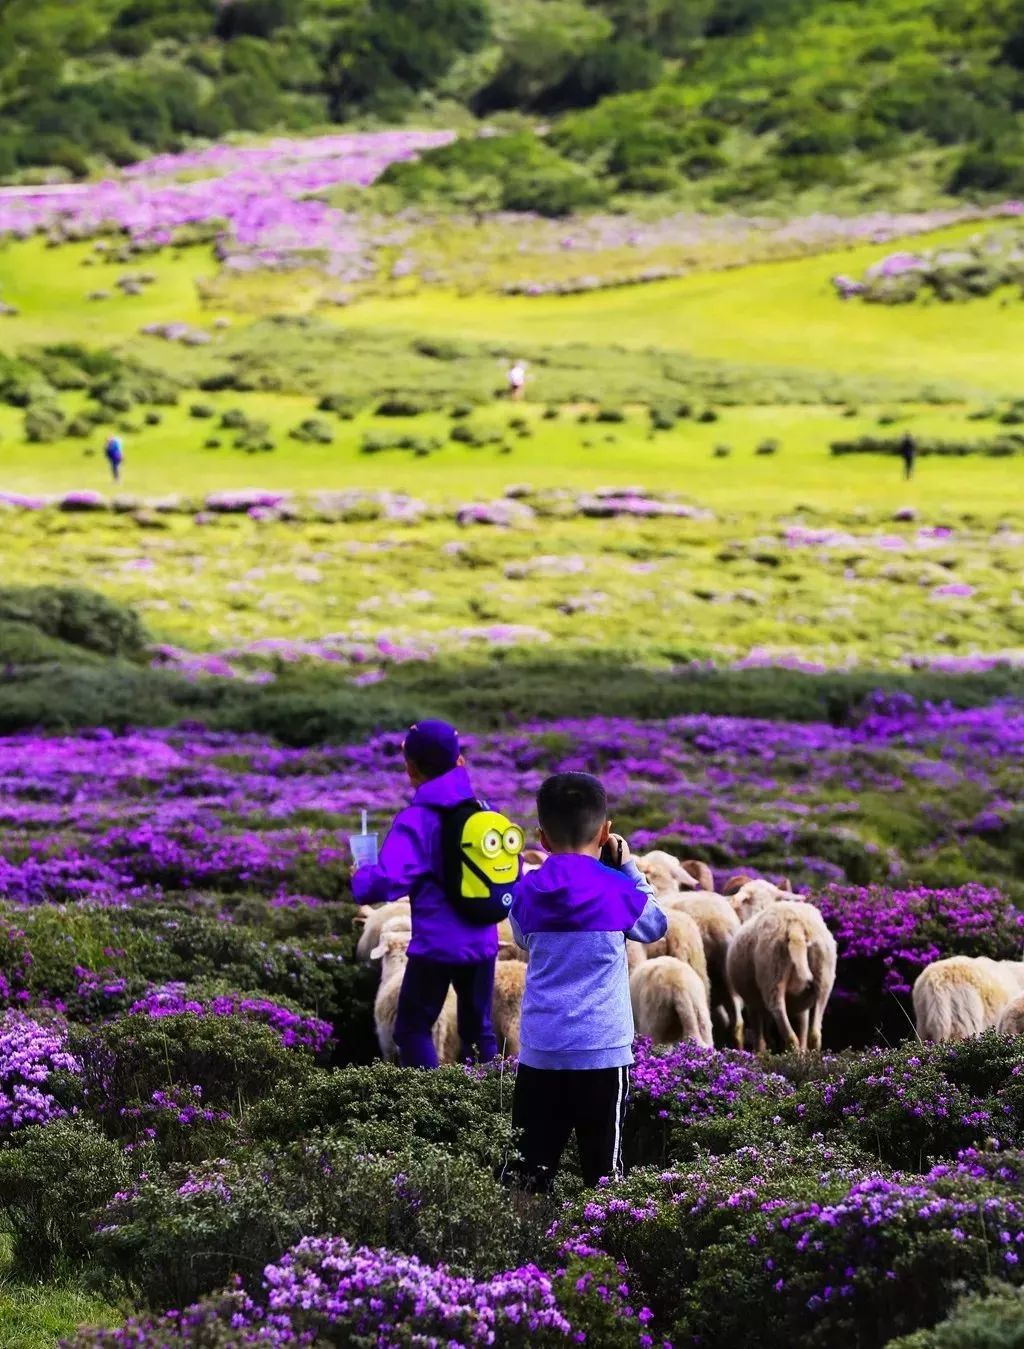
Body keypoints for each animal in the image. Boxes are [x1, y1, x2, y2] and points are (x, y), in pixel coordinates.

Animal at [723, 901, 836, 1057]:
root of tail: (795, 924)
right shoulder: (802, 1006)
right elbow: (803, 1028)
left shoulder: (752, 1003)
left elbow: (758, 1035)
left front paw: (760, 1054)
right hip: (824, 976)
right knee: (814, 1035)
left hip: (773, 975)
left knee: (789, 1033)